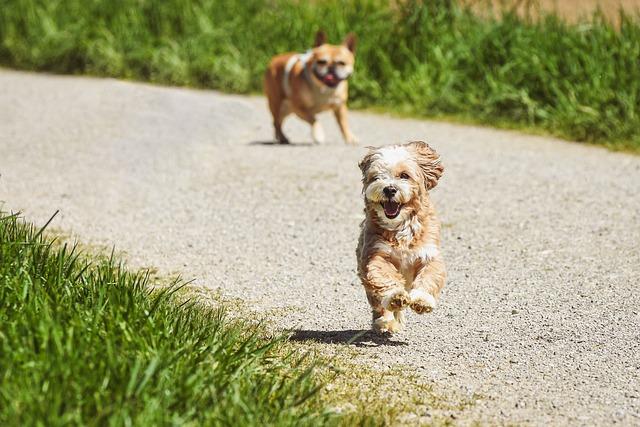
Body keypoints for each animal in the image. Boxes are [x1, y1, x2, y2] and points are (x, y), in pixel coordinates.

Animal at [356, 142, 444, 336]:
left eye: (404, 175)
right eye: (376, 177)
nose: (389, 189)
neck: (400, 226)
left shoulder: (429, 254)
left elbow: (429, 276)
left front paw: (422, 300)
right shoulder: (375, 255)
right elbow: (384, 276)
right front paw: (395, 296)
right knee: (379, 304)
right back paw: (386, 321)